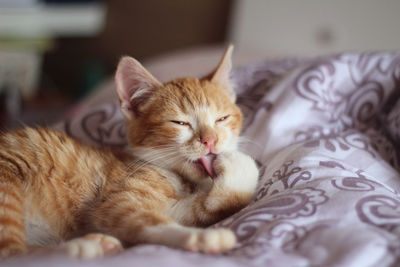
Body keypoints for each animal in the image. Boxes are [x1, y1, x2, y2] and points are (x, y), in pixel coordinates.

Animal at [0, 45, 260, 260]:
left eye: (222, 118)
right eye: (180, 123)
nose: (210, 141)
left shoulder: (178, 209)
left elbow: (199, 210)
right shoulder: (116, 201)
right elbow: (147, 221)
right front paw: (203, 237)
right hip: (7, 177)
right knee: (12, 253)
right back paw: (80, 247)